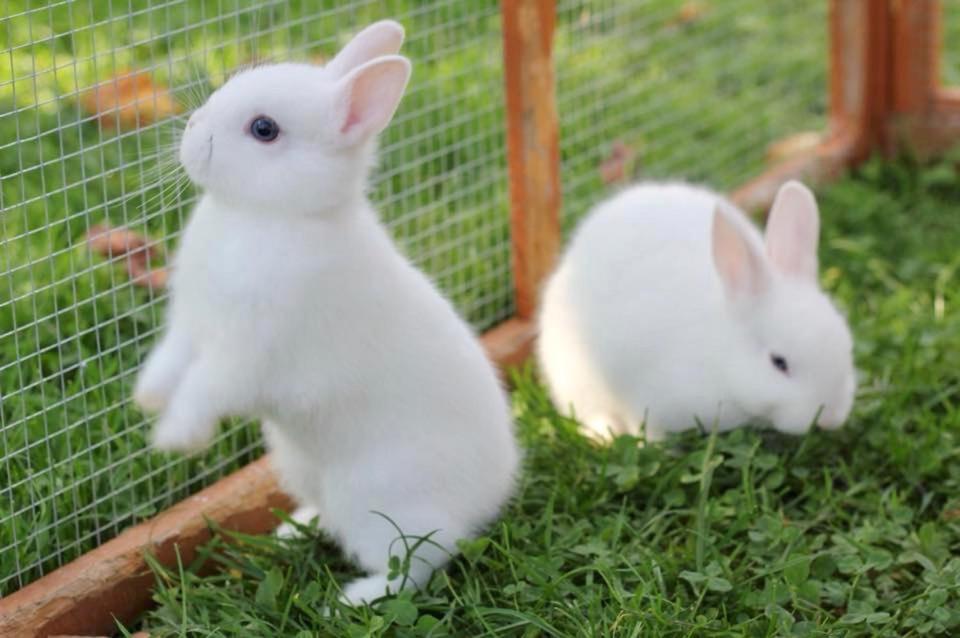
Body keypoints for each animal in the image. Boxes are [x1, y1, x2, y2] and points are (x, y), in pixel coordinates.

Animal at [135, 21, 516, 604]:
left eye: (264, 129)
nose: (193, 129)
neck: (265, 217)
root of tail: (492, 495)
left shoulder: (246, 353)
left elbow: (204, 387)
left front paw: (176, 438)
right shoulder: (192, 327)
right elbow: (170, 362)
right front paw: (147, 398)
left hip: (380, 505)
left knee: (421, 559)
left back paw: (354, 599)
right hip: (299, 467)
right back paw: (293, 530)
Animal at [536, 178, 860, 442]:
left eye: (847, 348)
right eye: (778, 363)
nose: (830, 419)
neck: (721, 362)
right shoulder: (648, 399)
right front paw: (651, 447)